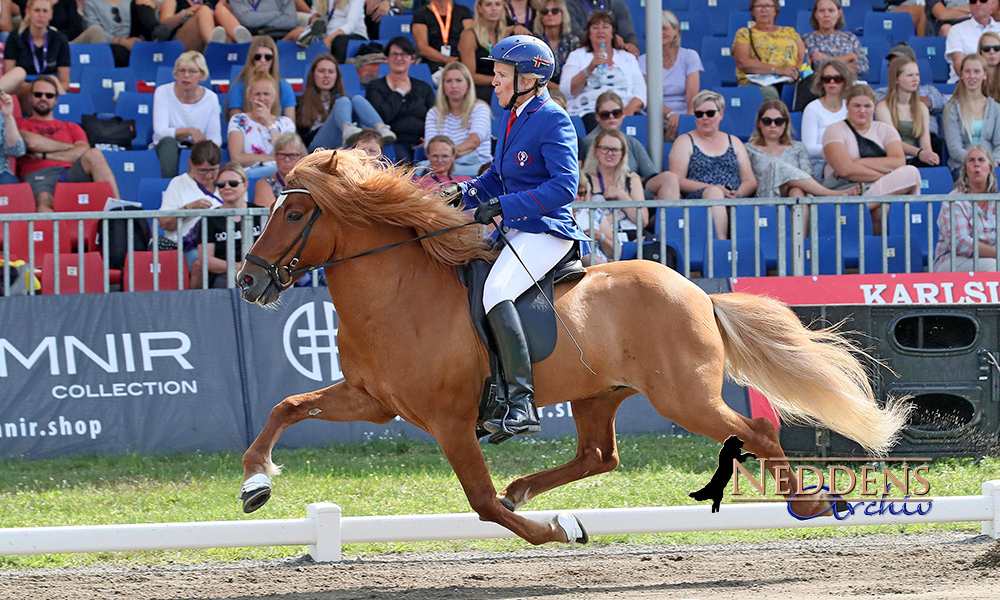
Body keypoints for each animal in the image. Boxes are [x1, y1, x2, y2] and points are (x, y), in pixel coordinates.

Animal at [238, 151, 912, 548]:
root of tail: (697, 291)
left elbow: (481, 501)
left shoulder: (448, 420)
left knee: (753, 431)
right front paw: (255, 482)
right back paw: (529, 489)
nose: (247, 282)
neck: (399, 295)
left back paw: (810, 500)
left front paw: (552, 533)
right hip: (600, 394)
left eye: (294, 213)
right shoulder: (372, 401)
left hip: (683, 396)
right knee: (599, 455)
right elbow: (287, 406)